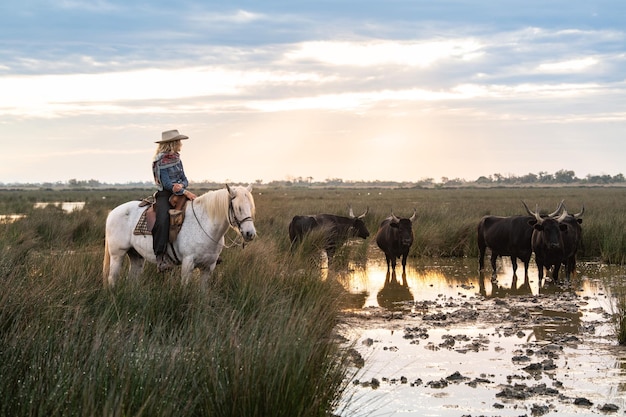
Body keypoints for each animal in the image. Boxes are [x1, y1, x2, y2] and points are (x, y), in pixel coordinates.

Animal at [103, 184, 255, 286]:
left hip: (136, 256)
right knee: (112, 278)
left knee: (132, 280)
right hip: (117, 254)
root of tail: (112, 212)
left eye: (251, 207)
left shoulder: (208, 267)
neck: (205, 224)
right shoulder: (188, 264)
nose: (250, 233)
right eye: (238, 208)